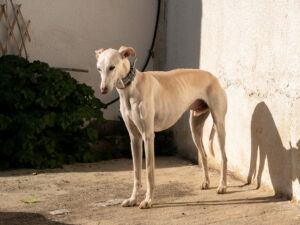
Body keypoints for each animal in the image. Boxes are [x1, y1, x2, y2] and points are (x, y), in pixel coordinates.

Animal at [95, 45, 227, 209]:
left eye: (112, 67)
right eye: (99, 69)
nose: (103, 89)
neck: (131, 88)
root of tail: (212, 77)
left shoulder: (148, 136)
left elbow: (149, 171)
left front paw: (148, 200)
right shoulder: (134, 138)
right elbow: (136, 172)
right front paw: (132, 199)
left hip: (219, 125)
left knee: (224, 157)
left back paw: (222, 186)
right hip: (195, 126)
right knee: (203, 155)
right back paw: (206, 182)